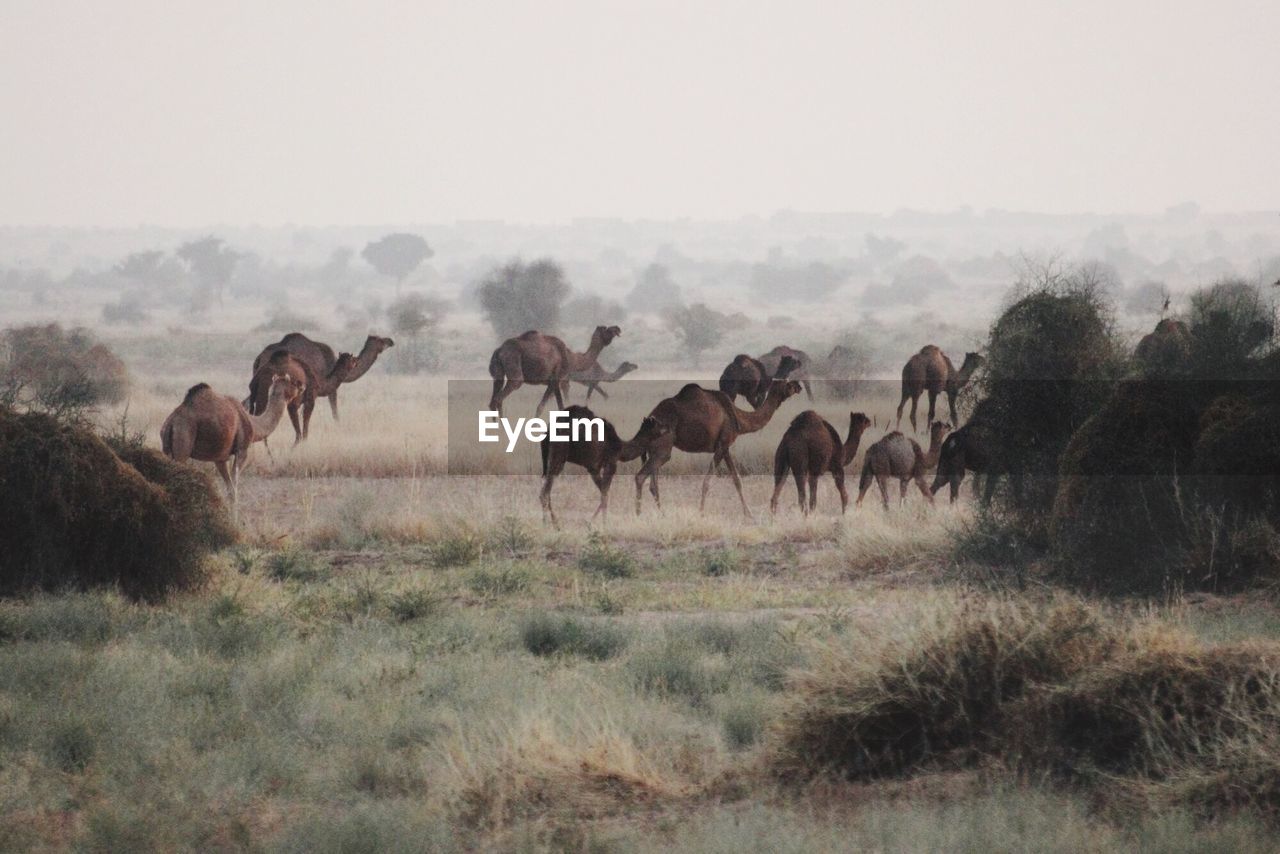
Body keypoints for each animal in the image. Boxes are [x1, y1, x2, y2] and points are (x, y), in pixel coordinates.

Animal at [161, 371, 303, 507]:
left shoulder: (220, 458)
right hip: (183, 443)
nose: (301, 385)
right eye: (293, 382)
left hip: (167, 449)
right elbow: (234, 487)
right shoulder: (242, 450)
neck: (254, 424)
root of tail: (171, 423)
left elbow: (229, 489)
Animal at [486, 323, 622, 417]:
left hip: (498, 373)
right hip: (514, 366)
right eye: (607, 329)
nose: (618, 328)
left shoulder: (556, 383)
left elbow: (560, 407)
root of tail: (499, 350)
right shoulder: (555, 379)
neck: (572, 358)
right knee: (500, 397)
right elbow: (541, 407)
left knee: (493, 399)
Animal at [535, 404, 670, 524]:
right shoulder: (611, 463)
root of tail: (547, 431)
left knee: (545, 488)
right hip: (559, 455)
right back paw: (551, 524)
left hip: (551, 458)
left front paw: (593, 522)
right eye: (659, 424)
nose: (668, 428)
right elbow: (605, 493)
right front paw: (604, 523)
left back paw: (552, 523)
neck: (620, 447)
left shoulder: (593, 468)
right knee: (545, 492)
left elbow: (604, 492)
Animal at [629, 366, 798, 514]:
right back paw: (639, 514)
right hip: (662, 448)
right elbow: (707, 482)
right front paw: (701, 512)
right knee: (641, 477)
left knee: (653, 484)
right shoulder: (722, 444)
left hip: (654, 450)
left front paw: (749, 514)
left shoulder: (725, 447)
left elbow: (737, 480)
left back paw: (661, 514)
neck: (739, 418)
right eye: (787, 383)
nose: (798, 386)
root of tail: (648, 420)